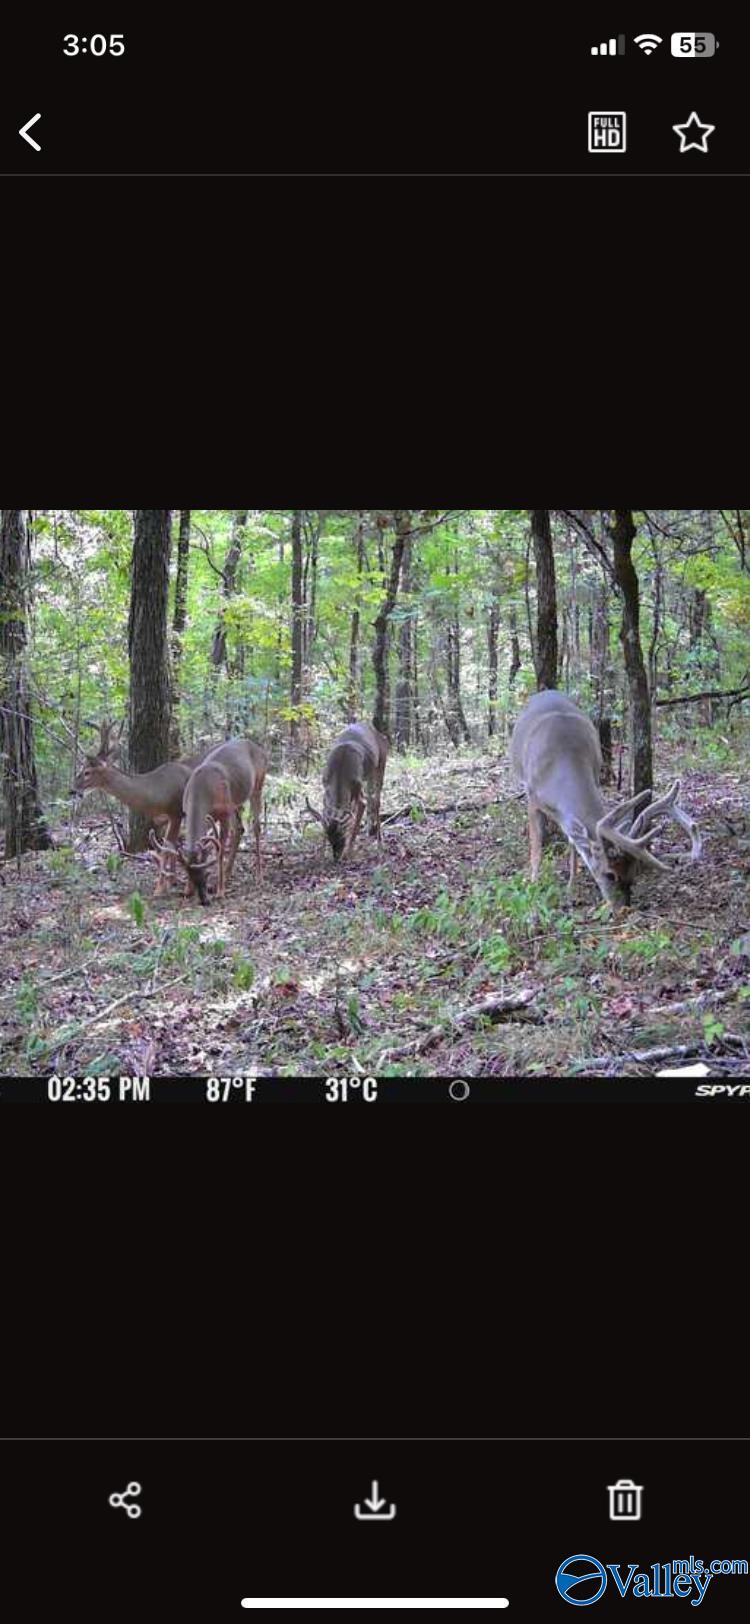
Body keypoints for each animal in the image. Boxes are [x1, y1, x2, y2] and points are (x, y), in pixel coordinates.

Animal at [70, 721, 207, 896]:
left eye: (87, 772)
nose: (72, 790)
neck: (155, 792)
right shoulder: (166, 818)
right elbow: (172, 847)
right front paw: (172, 881)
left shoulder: (176, 813)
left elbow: (167, 849)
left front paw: (161, 888)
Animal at [150, 740, 266, 909]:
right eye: (188, 874)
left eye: (204, 875)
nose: (203, 899)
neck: (202, 792)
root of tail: (257, 747)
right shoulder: (192, 812)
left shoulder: (224, 812)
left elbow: (220, 849)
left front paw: (220, 892)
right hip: (236, 801)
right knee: (239, 828)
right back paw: (228, 874)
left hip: (258, 785)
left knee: (256, 826)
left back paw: (259, 876)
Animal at [305, 717, 389, 857]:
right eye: (330, 837)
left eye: (341, 835)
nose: (336, 857)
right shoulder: (325, 788)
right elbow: (325, 812)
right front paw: (323, 852)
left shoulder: (356, 788)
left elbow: (360, 809)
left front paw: (349, 851)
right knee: (371, 799)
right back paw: (368, 831)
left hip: (380, 766)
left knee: (376, 800)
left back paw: (380, 844)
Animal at [509, 688, 704, 909]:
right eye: (610, 874)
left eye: (633, 873)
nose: (623, 908)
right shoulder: (532, 796)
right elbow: (536, 844)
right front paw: (533, 884)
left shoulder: (593, 777)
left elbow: (574, 842)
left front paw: (571, 888)